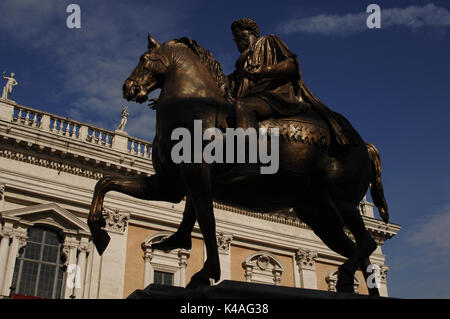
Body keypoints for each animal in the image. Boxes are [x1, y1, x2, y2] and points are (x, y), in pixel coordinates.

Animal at [88, 33, 390, 296]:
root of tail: (363, 146)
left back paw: (345, 277)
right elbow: (105, 182)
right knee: (362, 255)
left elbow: (207, 220)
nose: (128, 88)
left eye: (143, 58)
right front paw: (100, 232)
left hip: (342, 201)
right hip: (320, 216)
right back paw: (354, 285)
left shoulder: (195, 174)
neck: (194, 105)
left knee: (367, 244)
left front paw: (206, 272)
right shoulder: (171, 183)